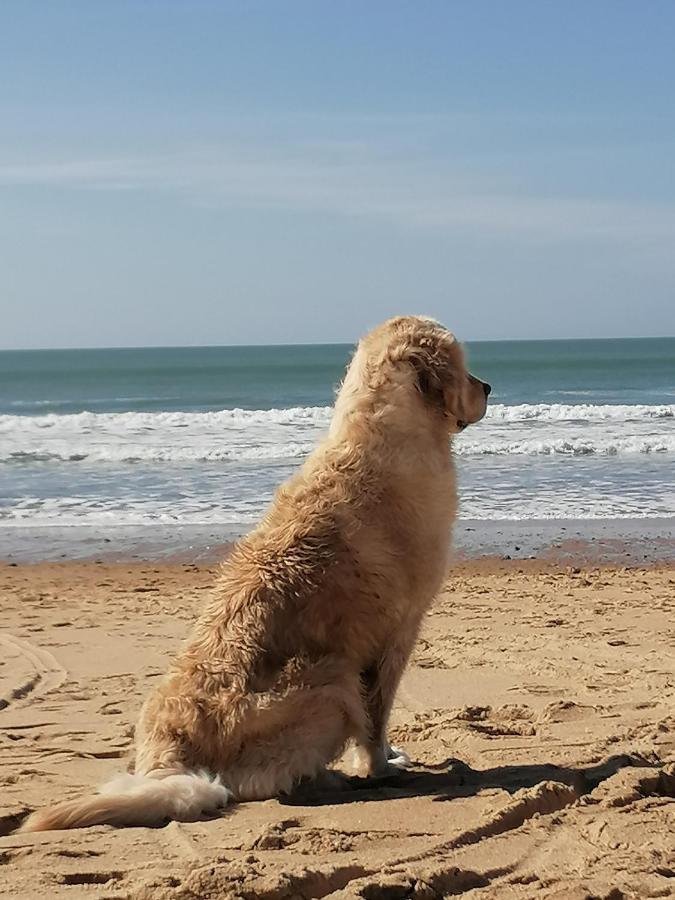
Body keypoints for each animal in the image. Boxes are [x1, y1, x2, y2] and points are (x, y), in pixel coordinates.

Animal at [21, 314, 492, 828]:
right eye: (464, 367)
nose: (488, 386)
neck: (386, 428)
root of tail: (170, 760)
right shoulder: (398, 632)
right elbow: (377, 718)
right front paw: (381, 764)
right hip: (332, 682)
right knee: (251, 783)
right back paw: (322, 779)